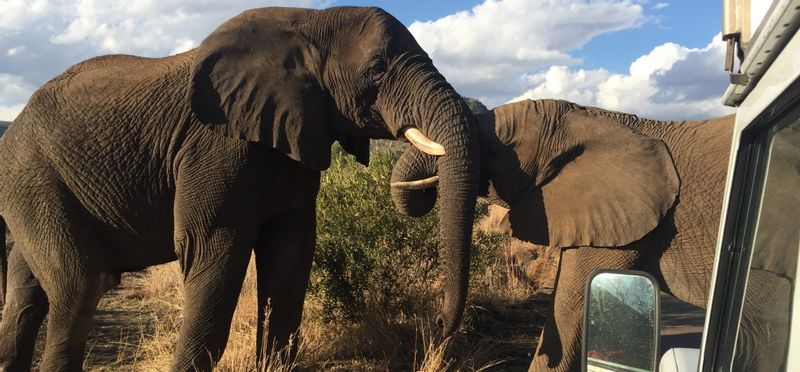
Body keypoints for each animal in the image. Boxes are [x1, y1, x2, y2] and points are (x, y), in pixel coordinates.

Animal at [0, 6, 482, 372]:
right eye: (377, 70)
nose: (436, 334)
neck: (310, 22)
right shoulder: (213, 147)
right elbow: (214, 251)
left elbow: (290, 256)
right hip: (31, 174)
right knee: (80, 285)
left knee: (27, 291)